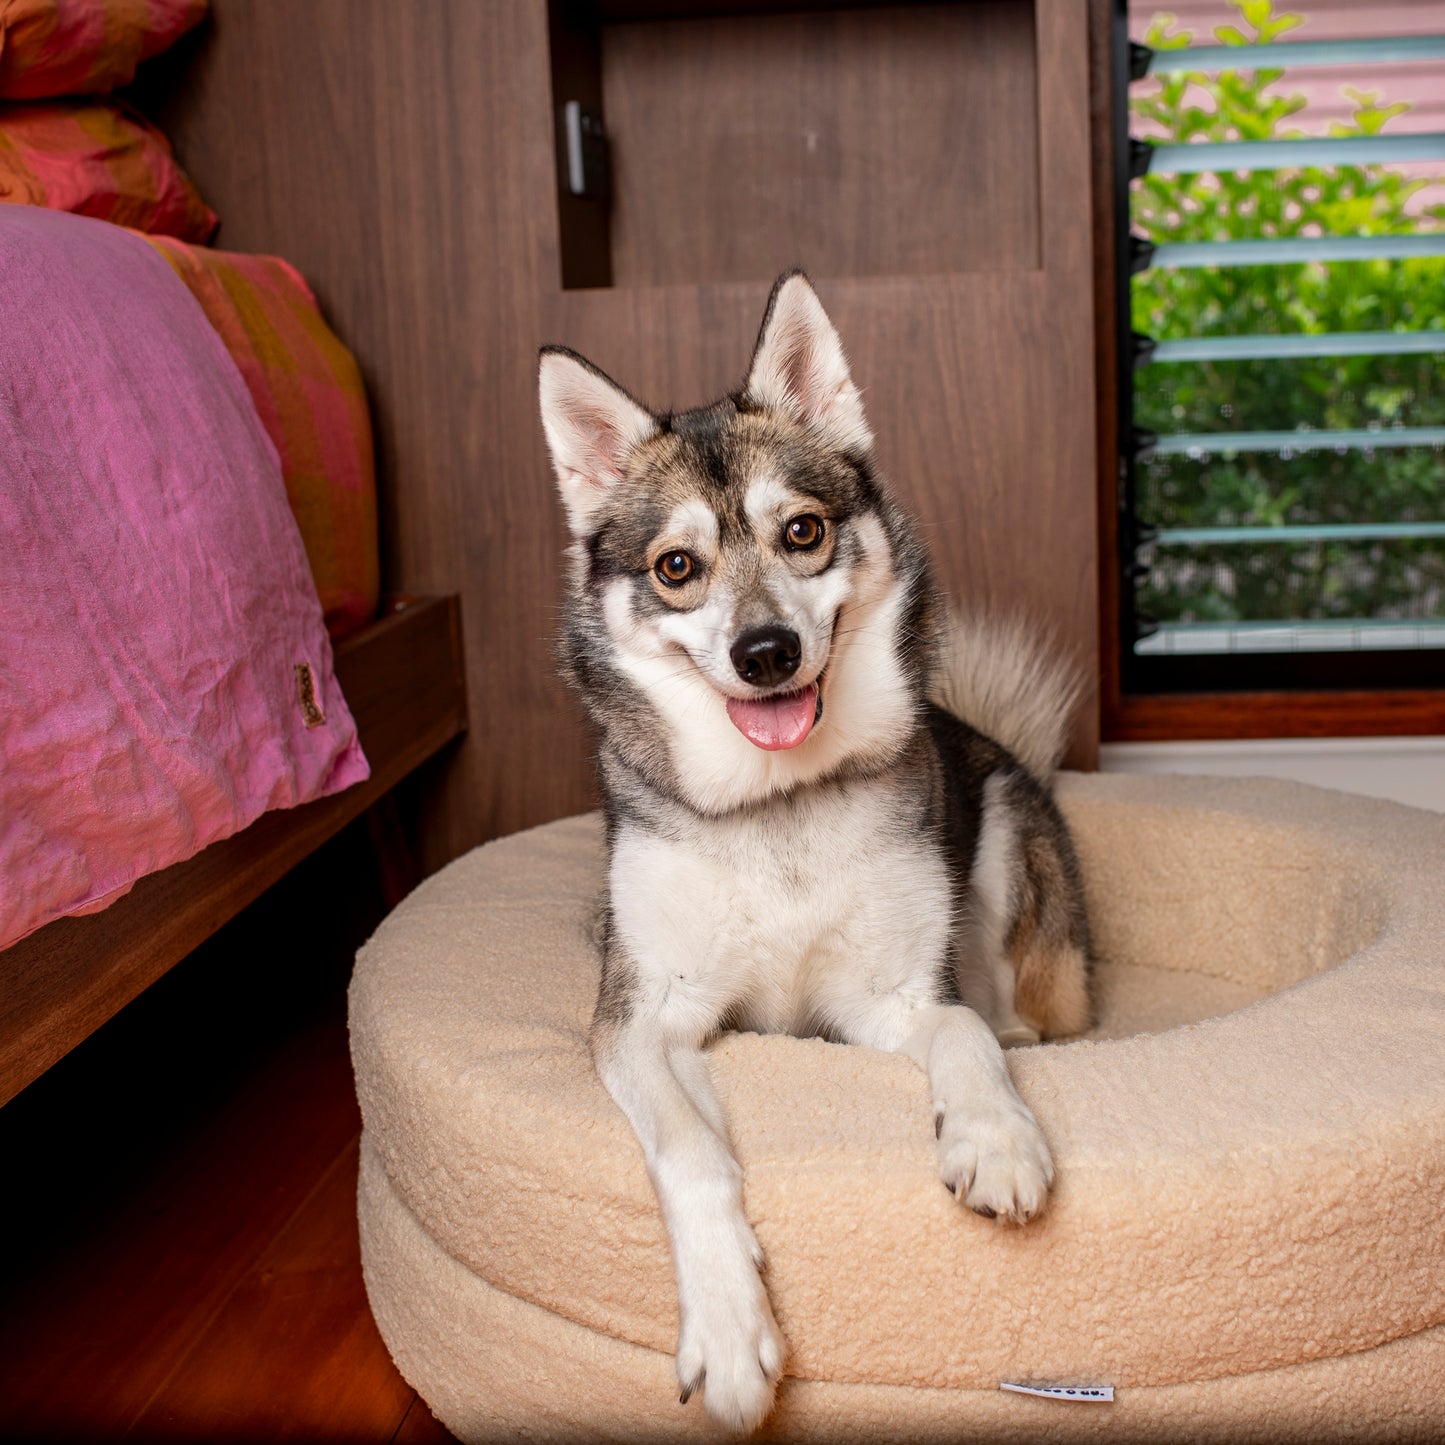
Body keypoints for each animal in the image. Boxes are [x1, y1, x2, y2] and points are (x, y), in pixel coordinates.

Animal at [537, 271, 1086, 1433]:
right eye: (676, 567)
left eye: (801, 531)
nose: (765, 651)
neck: (776, 807)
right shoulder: (641, 1021)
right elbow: (691, 1149)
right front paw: (729, 1331)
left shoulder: (890, 1001)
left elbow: (962, 1030)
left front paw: (994, 1135)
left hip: (1002, 834)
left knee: (1006, 1006)